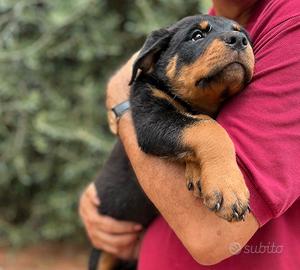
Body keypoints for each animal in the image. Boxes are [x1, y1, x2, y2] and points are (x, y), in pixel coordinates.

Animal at [90, 14, 254, 270]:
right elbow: (207, 127)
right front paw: (229, 189)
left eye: (241, 32)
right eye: (197, 35)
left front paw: (198, 174)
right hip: (101, 255)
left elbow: (201, 123)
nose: (239, 40)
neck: (196, 104)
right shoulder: (150, 116)